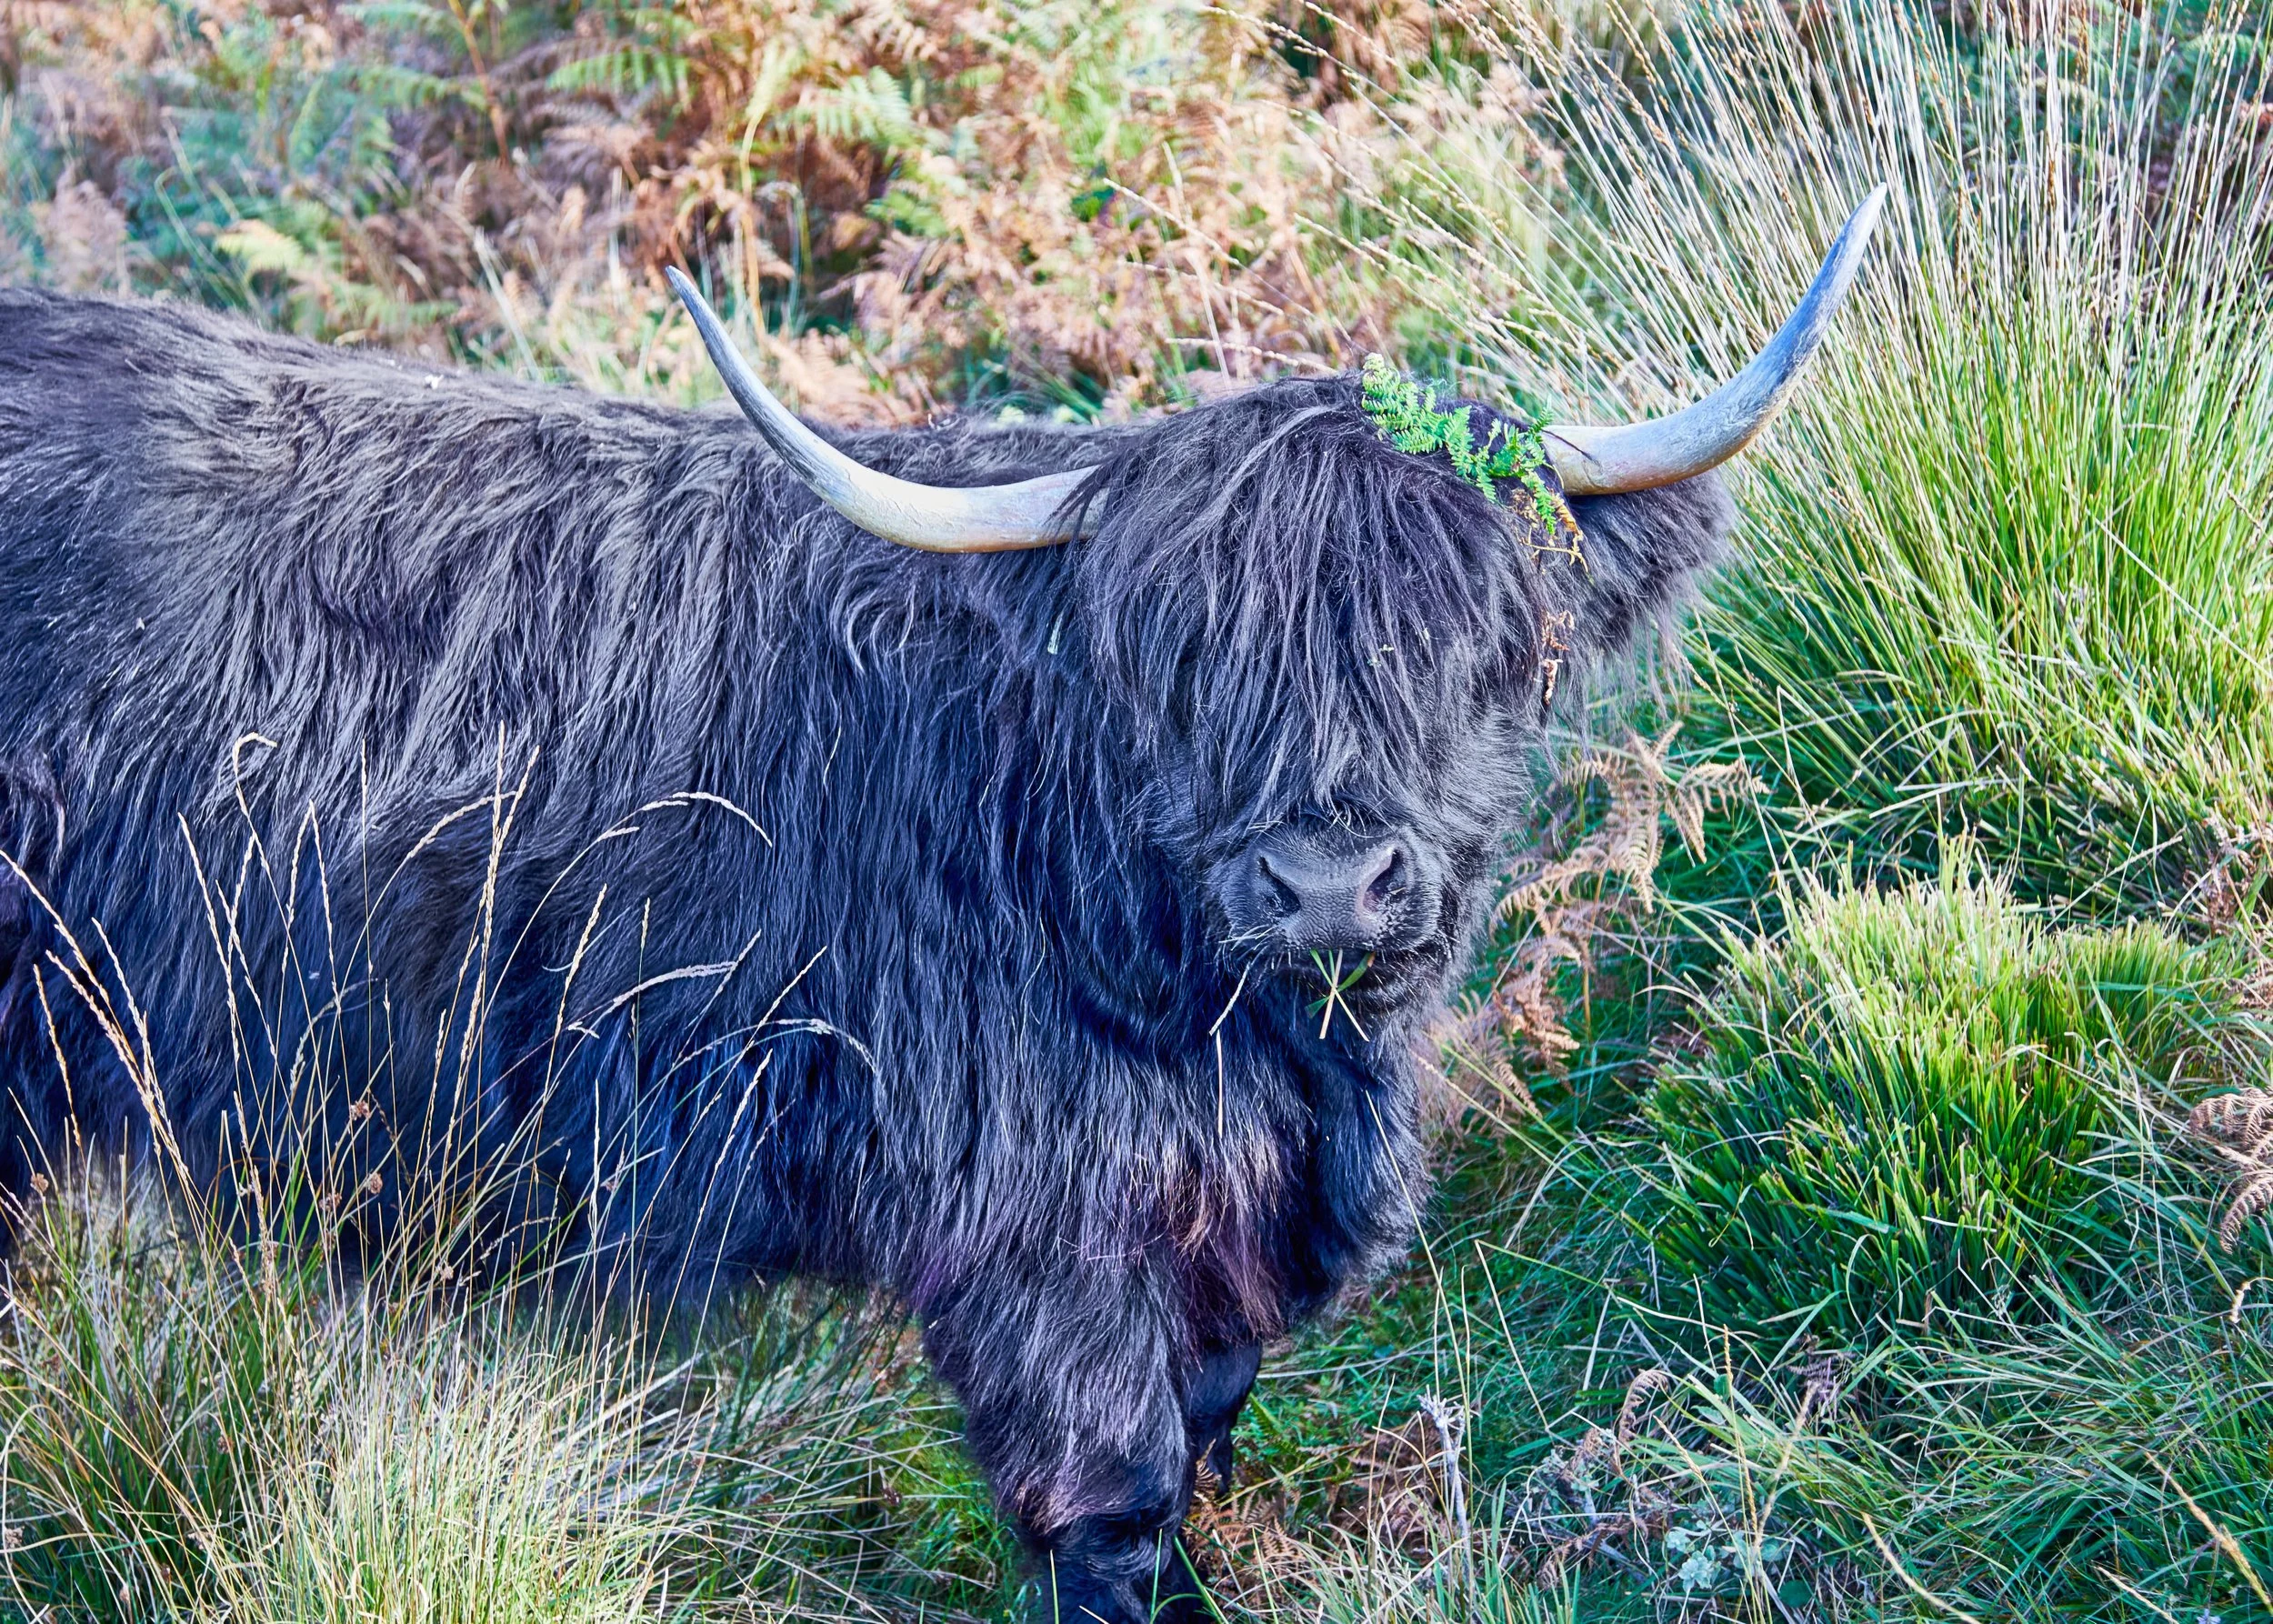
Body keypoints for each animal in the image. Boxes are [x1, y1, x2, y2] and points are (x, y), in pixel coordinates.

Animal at [0, 189, 1882, 1621]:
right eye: (1178, 658)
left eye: (1480, 640)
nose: (1328, 880)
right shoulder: (1041, 1244)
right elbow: (1115, 1505)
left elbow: (1207, 1432)